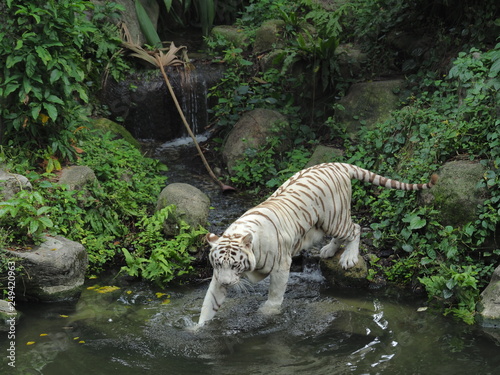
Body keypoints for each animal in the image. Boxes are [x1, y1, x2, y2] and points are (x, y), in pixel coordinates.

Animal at [197, 164, 436, 326]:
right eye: (217, 265)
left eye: (235, 265)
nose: (227, 283)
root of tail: (337, 164)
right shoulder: (217, 278)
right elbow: (209, 303)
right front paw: (198, 329)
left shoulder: (282, 266)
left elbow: (275, 295)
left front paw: (267, 314)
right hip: (321, 224)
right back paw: (328, 250)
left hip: (334, 217)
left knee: (355, 228)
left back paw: (348, 257)